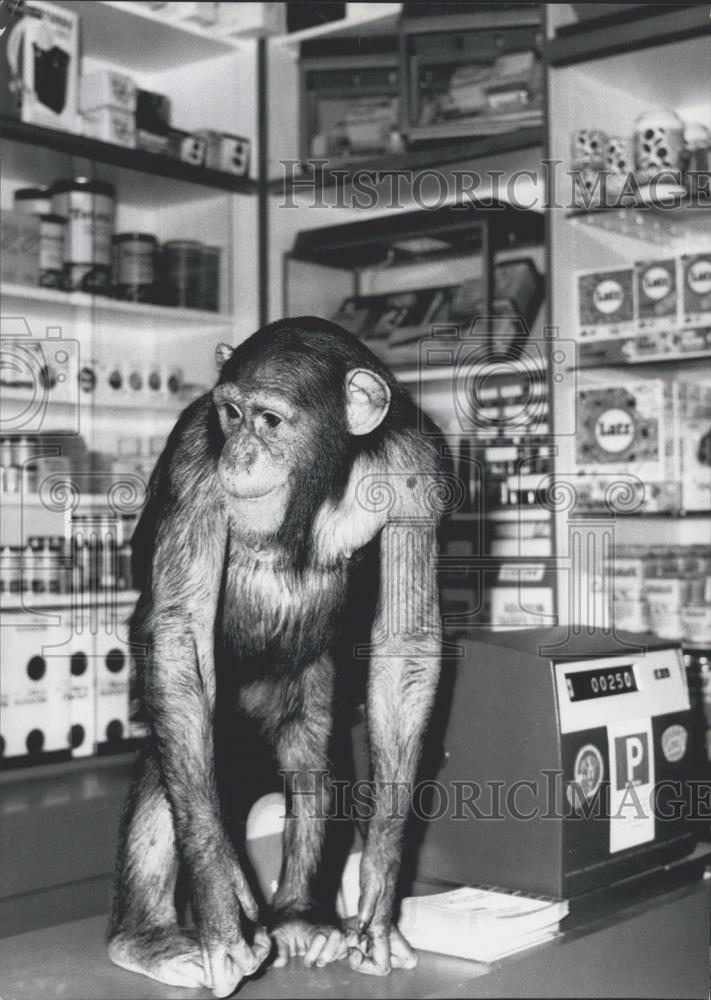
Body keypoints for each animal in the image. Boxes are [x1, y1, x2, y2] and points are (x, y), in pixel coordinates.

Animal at [107, 317, 444, 997]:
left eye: (270, 420)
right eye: (231, 414)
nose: (240, 453)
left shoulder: (418, 469)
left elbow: (405, 645)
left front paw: (379, 897)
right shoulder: (192, 460)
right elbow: (180, 630)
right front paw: (222, 909)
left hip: (304, 690)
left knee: (314, 758)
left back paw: (298, 918)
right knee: (176, 751)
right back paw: (147, 937)